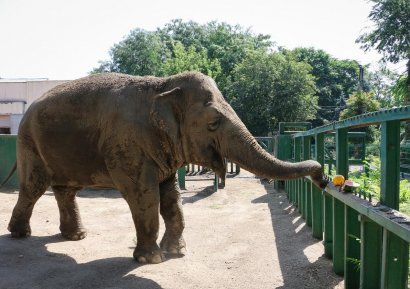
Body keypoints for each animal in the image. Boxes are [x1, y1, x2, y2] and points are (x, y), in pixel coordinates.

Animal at [8, 72, 328, 264]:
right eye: (213, 123)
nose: (323, 178)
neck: (162, 84)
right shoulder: (127, 146)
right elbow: (145, 196)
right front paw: (151, 260)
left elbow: (172, 198)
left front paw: (176, 253)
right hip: (28, 143)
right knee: (34, 187)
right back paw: (19, 235)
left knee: (66, 190)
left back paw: (75, 237)